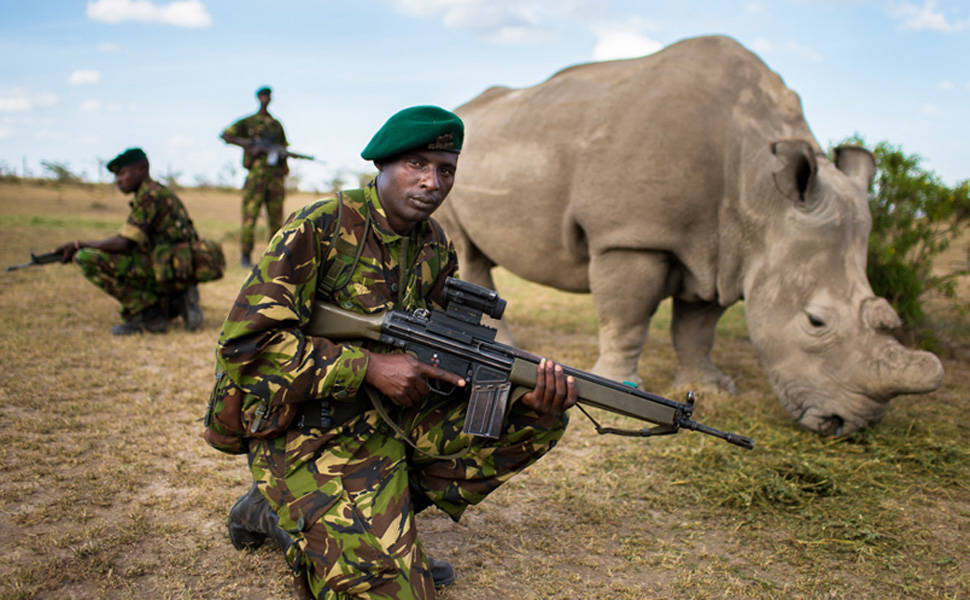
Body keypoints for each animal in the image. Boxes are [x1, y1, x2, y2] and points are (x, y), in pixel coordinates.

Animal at [436, 34, 936, 436]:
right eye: (815, 321)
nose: (848, 425)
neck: (759, 190)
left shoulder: (725, 252)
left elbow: (697, 327)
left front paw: (711, 387)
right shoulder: (631, 236)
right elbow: (626, 316)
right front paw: (620, 382)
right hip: (459, 162)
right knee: (466, 251)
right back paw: (511, 348)